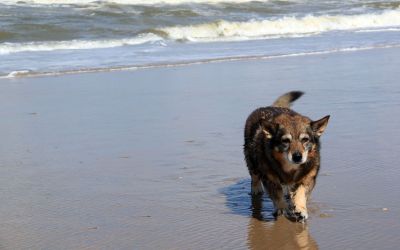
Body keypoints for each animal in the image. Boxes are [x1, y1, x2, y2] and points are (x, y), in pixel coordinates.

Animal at [245, 92, 330, 223]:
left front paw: (300, 208)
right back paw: (256, 189)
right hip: (251, 159)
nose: (297, 157)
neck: (290, 168)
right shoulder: (270, 179)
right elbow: (277, 195)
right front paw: (282, 208)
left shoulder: (308, 177)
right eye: (285, 140)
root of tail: (269, 107)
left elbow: (301, 192)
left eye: (305, 139)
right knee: (254, 176)